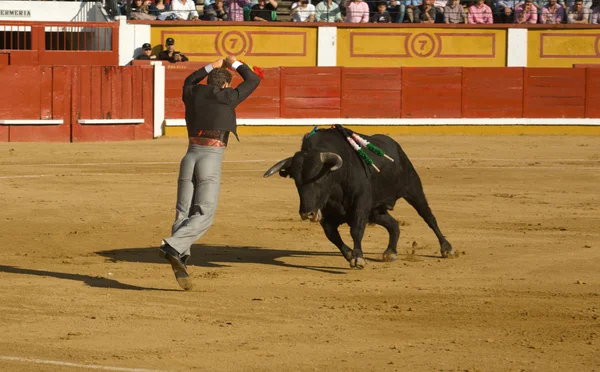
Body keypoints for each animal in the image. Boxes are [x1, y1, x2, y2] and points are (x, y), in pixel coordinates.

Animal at [264, 129, 452, 268]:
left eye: (318, 178)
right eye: (295, 180)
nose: (307, 213)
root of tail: (395, 146)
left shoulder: (361, 204)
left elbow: (356, 230)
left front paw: (357, 258)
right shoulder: (328, 214)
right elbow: (332, 235)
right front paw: (349, 254)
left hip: (413, 188)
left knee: (428, 217)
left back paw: (446, 248)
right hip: (376, 211)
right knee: (393, 224)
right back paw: (390, 252)